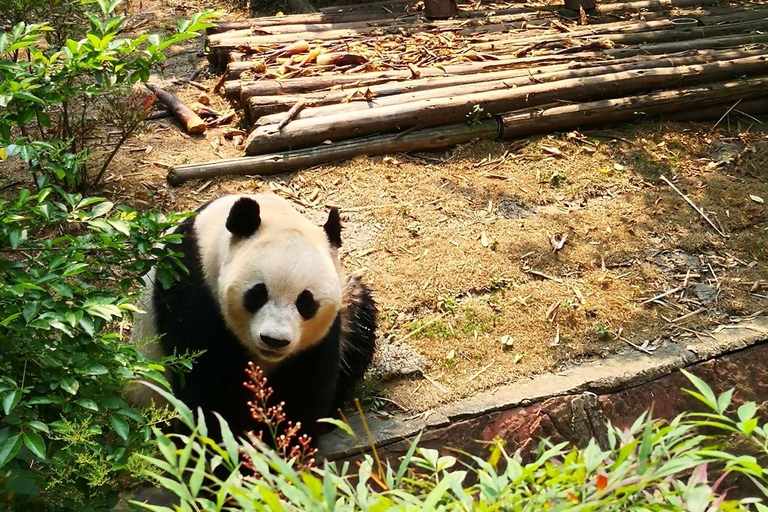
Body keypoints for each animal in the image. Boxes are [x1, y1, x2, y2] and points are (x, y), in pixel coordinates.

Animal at [129, 193, 377, 443]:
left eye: (305, 302)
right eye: (258, 294)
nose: (274, 340)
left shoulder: (322, 334)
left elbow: (305, 386)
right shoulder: (193, 288)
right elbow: (210, 385)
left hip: (349, 305)